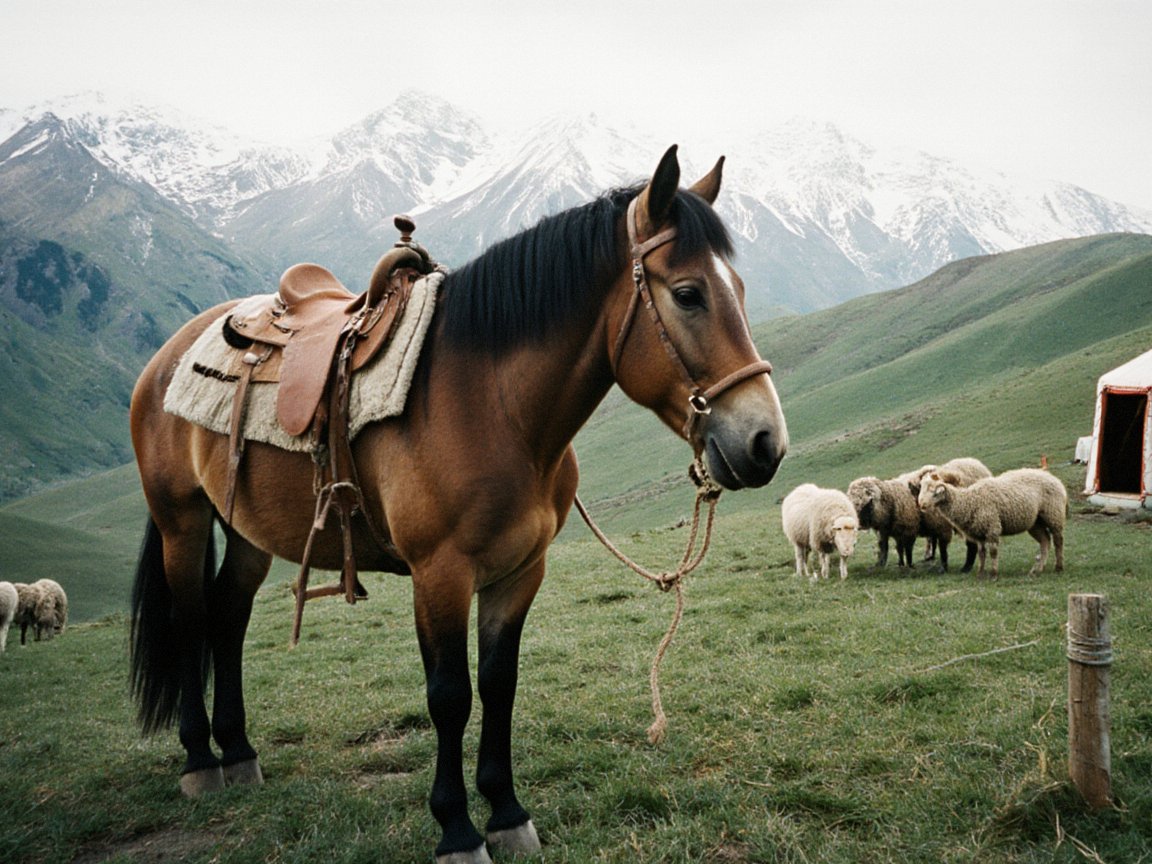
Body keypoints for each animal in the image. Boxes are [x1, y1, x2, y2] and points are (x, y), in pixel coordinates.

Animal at [128, 145, 788, 863]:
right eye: (689, 294)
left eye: (741, 291)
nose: (765, 442)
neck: (491, 404)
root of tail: (166, 357)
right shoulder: (439, 574)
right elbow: (450, 695)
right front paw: (457, 829)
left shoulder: (519, 572)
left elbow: (499, 684)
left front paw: (506, 812)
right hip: (182, 521)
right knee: (192, 621)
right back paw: (200, 760)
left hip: (250, 531)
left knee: (227, 617)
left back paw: (241, 751)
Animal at [917, 468, 1067, 579]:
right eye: (921, 488)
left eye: (934, 492)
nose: (921, 505)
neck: (969, 501)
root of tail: (1055, 479)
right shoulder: (978, 533)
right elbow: (981, 554)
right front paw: (980, 574)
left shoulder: (992, 527)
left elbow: (993, 552)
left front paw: (994, 574)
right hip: (1035, 522)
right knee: (1045, 541)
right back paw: (1038, 570)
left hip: (1053, 514)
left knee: (1058, 540)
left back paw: (1058, 567)